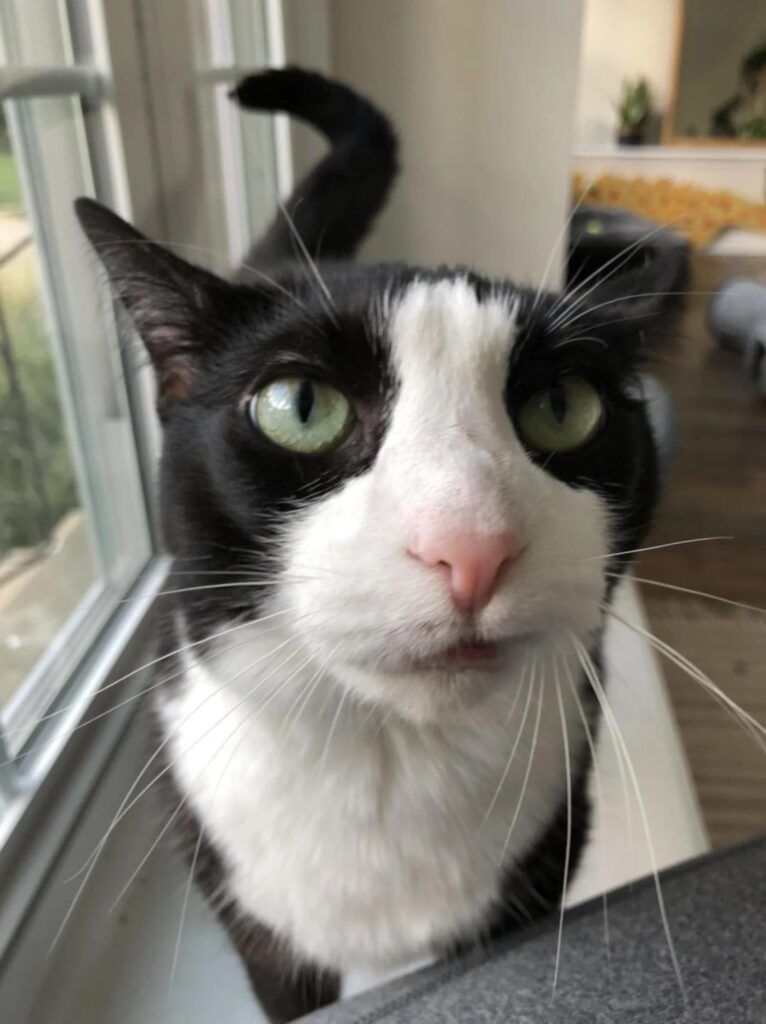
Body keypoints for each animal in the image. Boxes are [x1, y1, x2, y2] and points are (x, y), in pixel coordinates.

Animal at [76, 68, 663, 1019]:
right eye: (299, 408)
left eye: (564, 407)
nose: (473, 546)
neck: (386, 756)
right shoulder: (261, 925)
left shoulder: (535, 875)